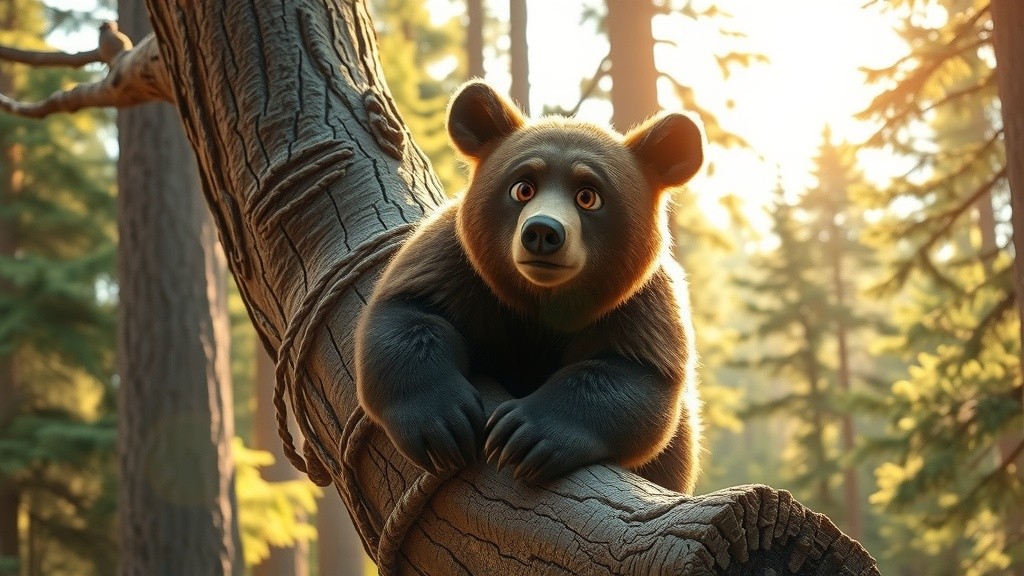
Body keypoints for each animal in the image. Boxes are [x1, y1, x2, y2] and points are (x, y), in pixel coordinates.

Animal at [355, 81, 704, 493]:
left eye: (588, 195)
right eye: (523, 187)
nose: (542, 231)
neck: (542, 301)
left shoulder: (641, 303)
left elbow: (633, 375)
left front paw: (525, 436)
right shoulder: (457, 263)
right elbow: (409, 314)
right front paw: (443, 423)